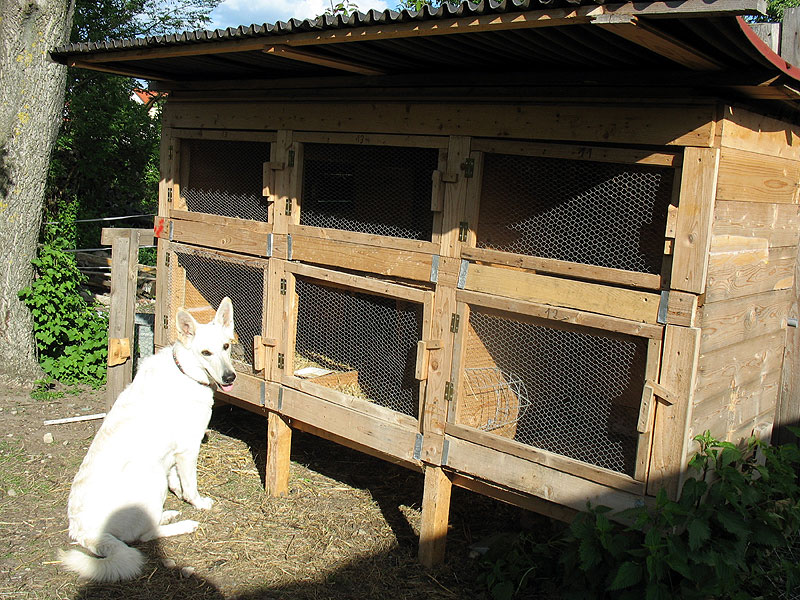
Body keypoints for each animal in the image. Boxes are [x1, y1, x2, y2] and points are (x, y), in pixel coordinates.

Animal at [59, 298, 236, 580]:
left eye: (226, 347)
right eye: (206, 353)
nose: (230, 377)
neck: (185, 372)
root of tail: (83, 531)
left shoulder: (173, 453)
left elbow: (177, 481)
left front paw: (179, 495)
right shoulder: (188, 449)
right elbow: (190, 486)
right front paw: (197, 503)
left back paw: (168, 514)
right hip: (151, 477)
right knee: (144, 536)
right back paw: (183, 523)